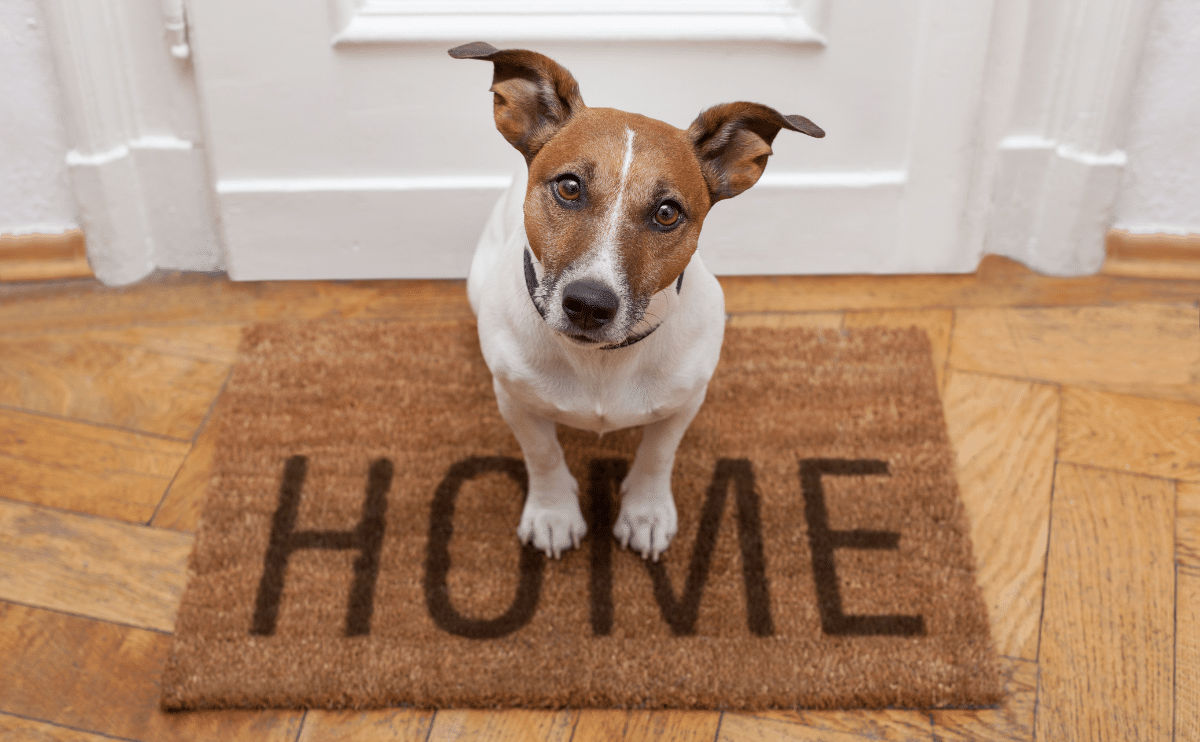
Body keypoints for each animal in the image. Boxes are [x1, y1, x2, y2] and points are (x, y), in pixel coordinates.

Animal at [451, 40, 825, 557]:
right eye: (569, 186)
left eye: (667, 213)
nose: (589, 304)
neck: (602, 361)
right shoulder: (515, 399)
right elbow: (542, 453)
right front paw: (553, 512)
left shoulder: (685, 402)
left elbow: (657, 454)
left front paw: (645, 512)